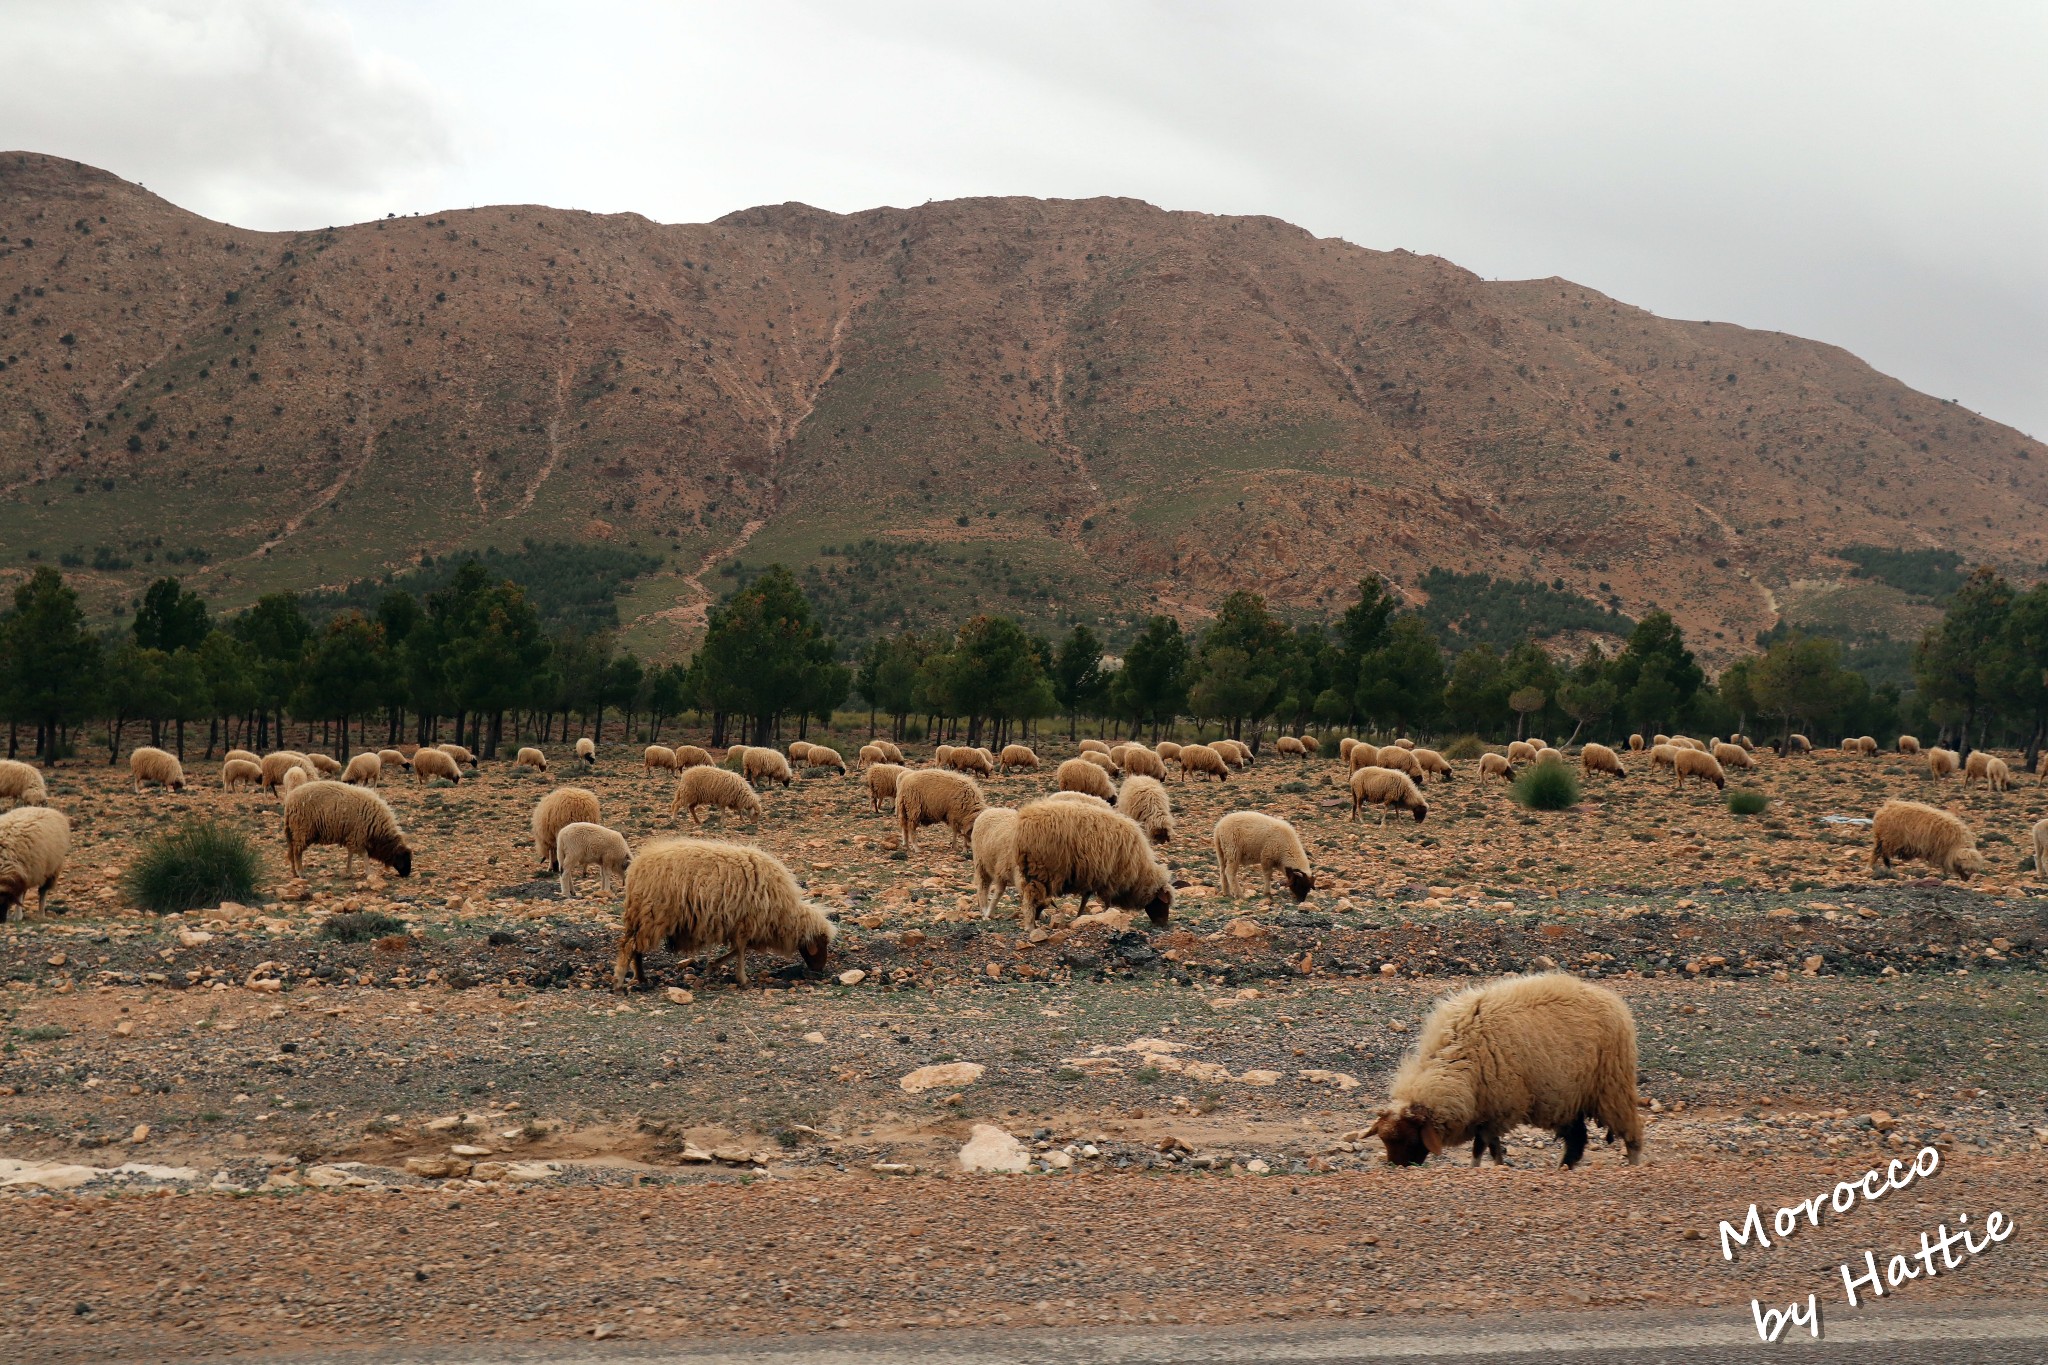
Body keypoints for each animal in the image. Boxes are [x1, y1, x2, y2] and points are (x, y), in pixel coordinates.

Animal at [282, 773, 413, 879]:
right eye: (404, 858)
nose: (407, 875)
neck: (377, 829)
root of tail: (289, 801)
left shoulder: (352, 836)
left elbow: (350, 853)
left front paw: (349, 872)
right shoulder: (358, 836)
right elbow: (364, 854)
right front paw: (369, 873)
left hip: (293, 831)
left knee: (291, 851)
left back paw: (294, 873)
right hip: (302, 829)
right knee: (297, 852)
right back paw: (300, 873)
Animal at [610, 839, 835, 986]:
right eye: (821, 943)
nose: (819, 970)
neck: (785, 912)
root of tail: (637, 867)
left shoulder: (739, 925)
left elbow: (737, 950)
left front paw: (713, 965)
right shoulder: (747, 923)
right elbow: (741, 951)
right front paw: (742, 979)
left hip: (641, 918)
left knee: (635, 948)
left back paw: (641, 978)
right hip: (652, 916)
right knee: (630, 947)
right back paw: (620, 981)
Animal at [1003, 794, 1171, 933]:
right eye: (1163, 902)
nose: (1163, 924)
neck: (1140, 871)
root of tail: (1024, 820)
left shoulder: (1093, 875)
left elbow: (1085, 899)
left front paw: (1079, 916)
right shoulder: (1110, 879)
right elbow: (1107, 902)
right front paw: (1107, 916)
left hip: (1031, 870)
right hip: (1042, 869)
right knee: (1031, 896)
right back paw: (1030, 926)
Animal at [1376, 970, 1646, 1178]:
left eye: (1408, 1139)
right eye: (1385, 1140)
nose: (1397, 1167)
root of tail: (1612, 999)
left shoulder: (1499, 1108)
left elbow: (1484, 1147)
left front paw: (1483, 1167)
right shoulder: (1487, 1111)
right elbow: (1488, 1147)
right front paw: (1491, 1166)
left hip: (1612, 1085)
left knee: (1631, 1130)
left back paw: (1634, 1164)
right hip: (1571, 1098)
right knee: (1577, 1140)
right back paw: (1564, 1168)